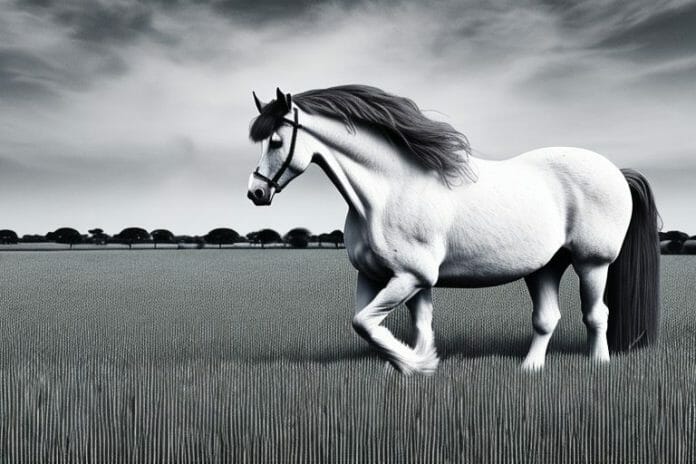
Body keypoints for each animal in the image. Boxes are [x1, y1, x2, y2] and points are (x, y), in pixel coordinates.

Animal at [246, 85, 660, 375]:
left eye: (277, 141)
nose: (256, 192)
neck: (388, 190)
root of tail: (616, 171)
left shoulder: (411, 276)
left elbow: (364, 323)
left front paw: (416, 365)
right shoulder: (379, 276)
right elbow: (399, 324)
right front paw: (417, 362)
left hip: (592, 263)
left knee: (597, 315)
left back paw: (598, 366)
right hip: (545, 267)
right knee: (547, 319)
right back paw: (529, 370)